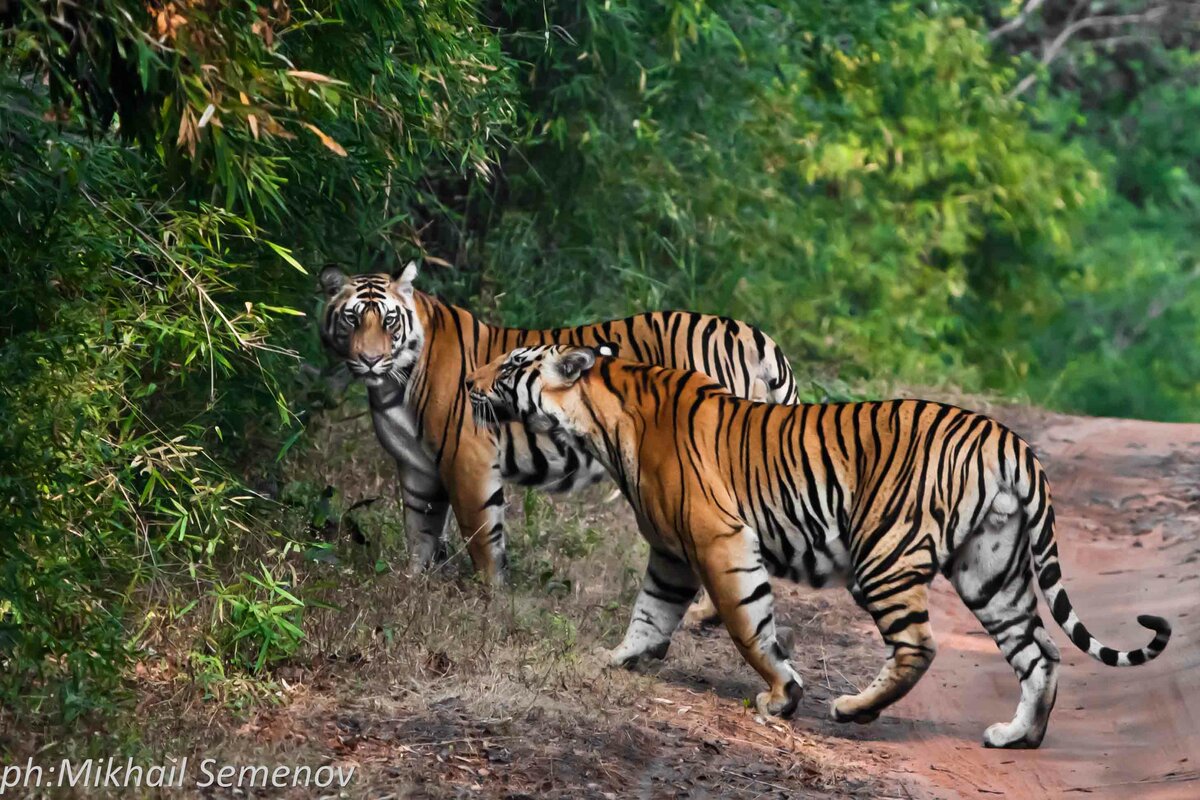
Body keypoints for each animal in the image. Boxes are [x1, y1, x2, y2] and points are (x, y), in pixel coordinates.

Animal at [319, 262, 796, 587]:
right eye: (352, 318)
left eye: (388, 320)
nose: (369, 359)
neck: (392, 384)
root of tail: (754, 336)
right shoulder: (417, 466)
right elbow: (420, 532)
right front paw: (413, 583)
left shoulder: (467, 459)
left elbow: (481, 533)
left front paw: (490, 593)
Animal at [465, 345, 1171, 753]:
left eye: (509, 367)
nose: (469, 381)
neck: (601, 418)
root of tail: (1009, 440)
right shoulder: (670, 551)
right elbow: (648, 613)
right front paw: (613, 661)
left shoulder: (717, 539)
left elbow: (749, 625)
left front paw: (782, 697)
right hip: (990, 568)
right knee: (1039, 650)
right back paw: (1018, 736)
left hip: (883, 554)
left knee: (920, 645)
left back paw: (853, 708)